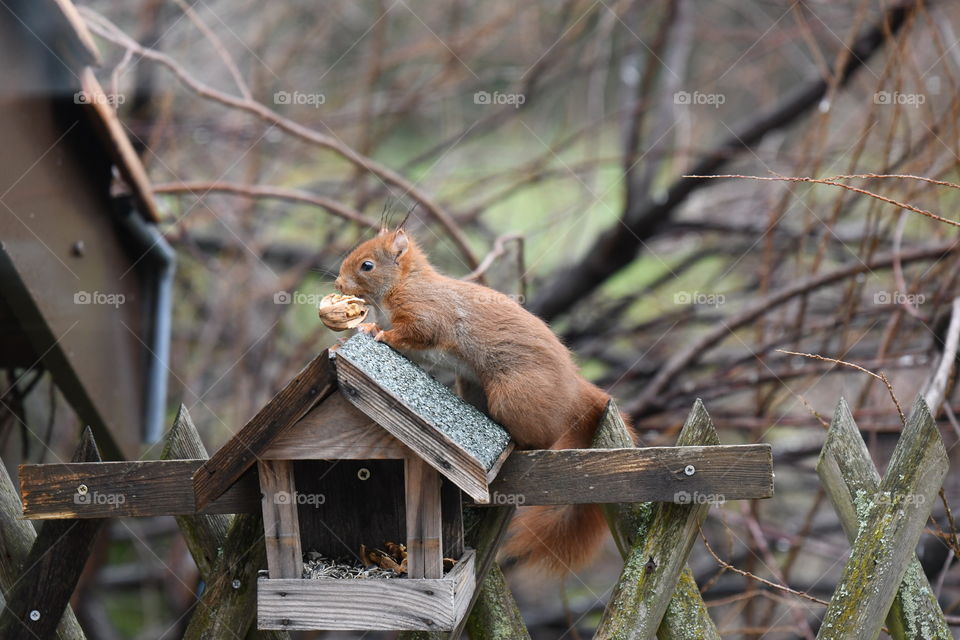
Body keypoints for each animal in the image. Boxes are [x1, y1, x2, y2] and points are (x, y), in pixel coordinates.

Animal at [334, 228, 632, 572]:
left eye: (366, 265)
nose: (338, 284)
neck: (402, 284)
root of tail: (573, 386)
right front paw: (358, 332)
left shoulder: (426, 311)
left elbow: (418, 332)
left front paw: (377, 332)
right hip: (473, 387)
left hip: (513, 397)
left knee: (544, 436)